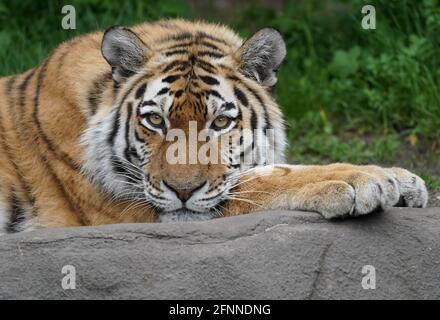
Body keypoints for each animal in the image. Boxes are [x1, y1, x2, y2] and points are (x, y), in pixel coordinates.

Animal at [0, 20, 428, 235]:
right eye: (155, 120)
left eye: (220, 122)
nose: (182, 192)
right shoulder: (126, 208)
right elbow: (267, 180)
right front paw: (366, 180)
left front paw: (403, 181)